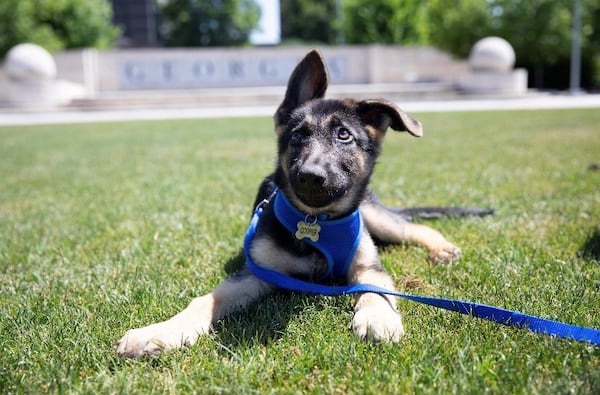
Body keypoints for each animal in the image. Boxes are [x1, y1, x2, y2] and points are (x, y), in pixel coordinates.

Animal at [118, 49, 464, 358]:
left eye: (344, 135)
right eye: (297, 136)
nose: (310, 176)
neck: (316, 223)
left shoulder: (368, 266)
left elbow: (375, 290)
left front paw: (378, 317)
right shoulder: (257, 273)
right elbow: (204, 300)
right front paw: (159, 333)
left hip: (373, 216)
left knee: (412, 228)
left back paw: (441, 248)